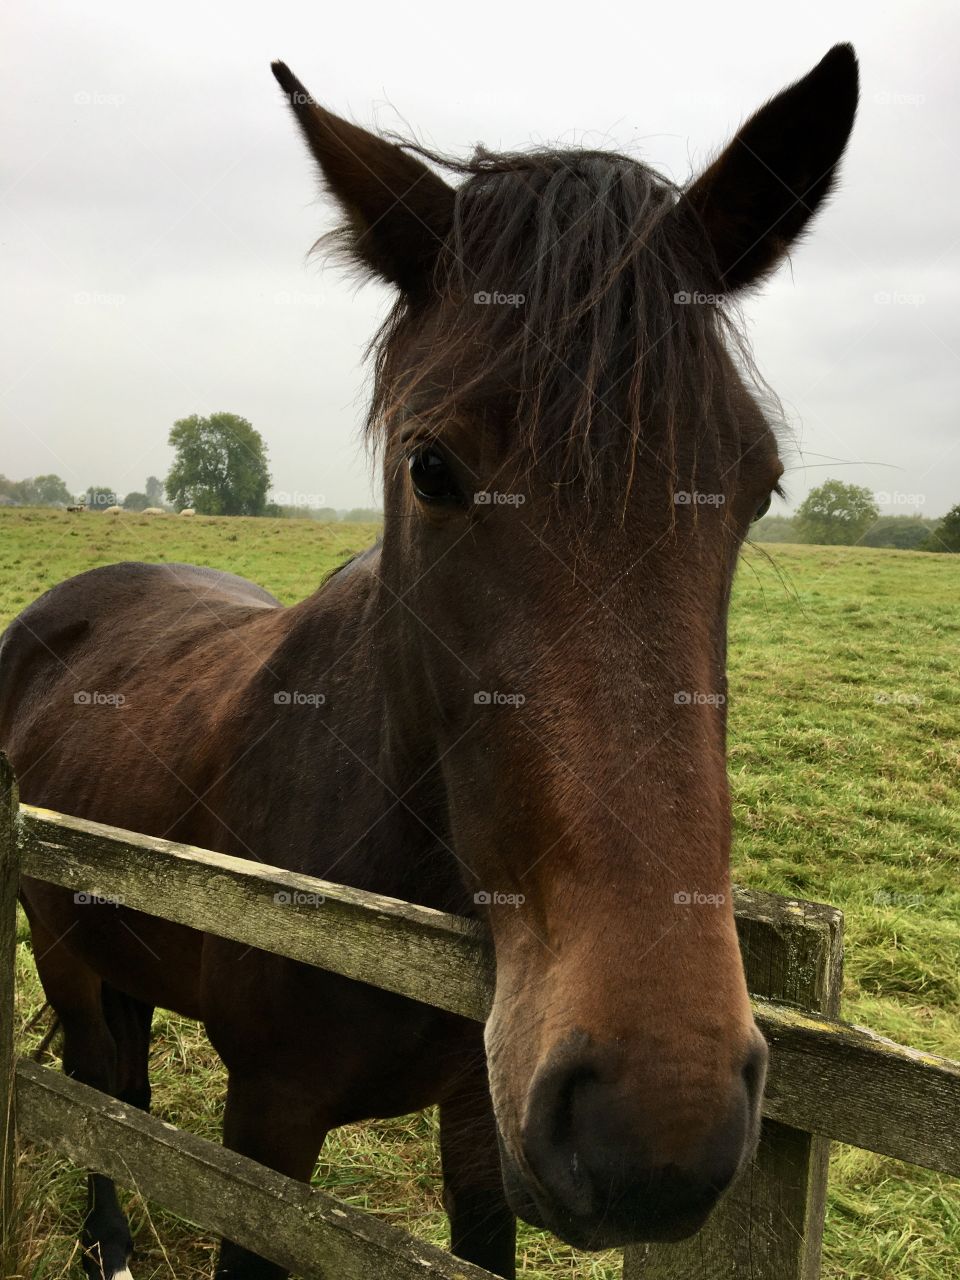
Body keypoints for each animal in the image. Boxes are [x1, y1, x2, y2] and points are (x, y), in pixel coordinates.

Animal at [0, 45, 860, 1280]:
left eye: (759, 483)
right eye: (432, 467)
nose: (658, 1121)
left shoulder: (477, 1116)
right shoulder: (270, 1124)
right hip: (61, 947)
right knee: (96, 1089)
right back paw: (109, 1242)